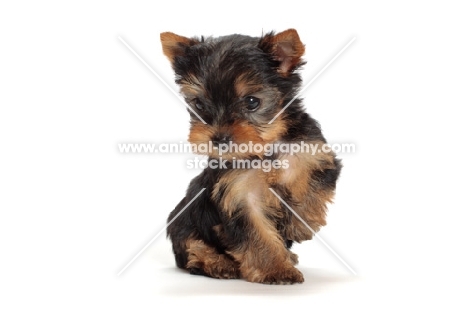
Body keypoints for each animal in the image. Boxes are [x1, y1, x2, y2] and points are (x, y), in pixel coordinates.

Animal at [160, 29, 340, 286]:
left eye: (252, 102)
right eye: (199, 104)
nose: (218, 138)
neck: (265, 148)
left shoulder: (316, 155)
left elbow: (313, 185)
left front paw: (300, 225)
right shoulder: (240, 195)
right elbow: (256, 233)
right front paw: (276, 270)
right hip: (183, 221)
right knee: (192, 247)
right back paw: (217, 263)